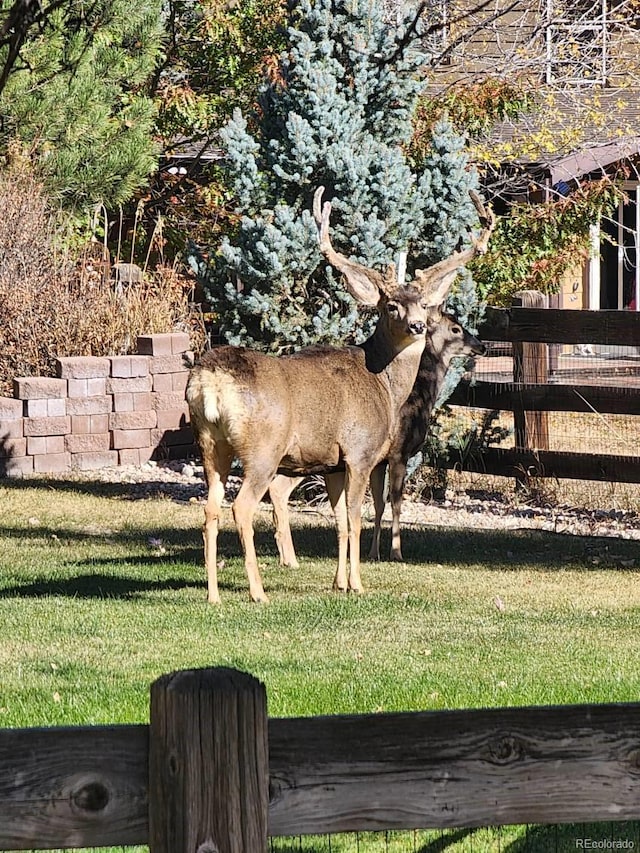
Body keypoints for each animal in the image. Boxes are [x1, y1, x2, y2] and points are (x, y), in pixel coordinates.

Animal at [268, 310, 484, 568]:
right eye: (455, 329)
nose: (481, 346)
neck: (420, 395)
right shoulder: (399, 451)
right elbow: (396, 502)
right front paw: (396, 552)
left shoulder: (378, 461)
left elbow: (379, 504)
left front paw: (373, 553)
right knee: (278, 488)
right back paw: (289, 557)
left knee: (276, 487)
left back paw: (286, 556)